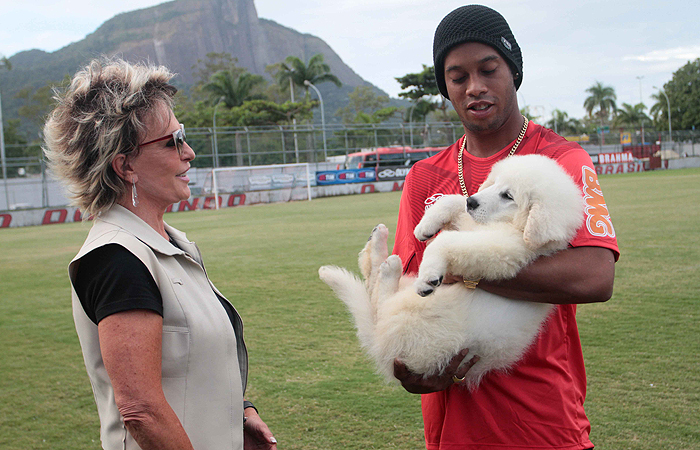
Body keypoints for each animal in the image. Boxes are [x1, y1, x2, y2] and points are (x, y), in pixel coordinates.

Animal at [322, 154, 584, 386]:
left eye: (508, 196)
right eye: (495, 183)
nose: (473, 202)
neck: (514, 227)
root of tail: (379, 344)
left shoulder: (501, 250)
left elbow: (446, 240)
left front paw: (428, 275)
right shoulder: (473, 223)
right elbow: (452, 200)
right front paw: (425, 226)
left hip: (411, 321)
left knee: (379, 299)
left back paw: (390, 266)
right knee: (371, 284)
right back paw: (378, 241)